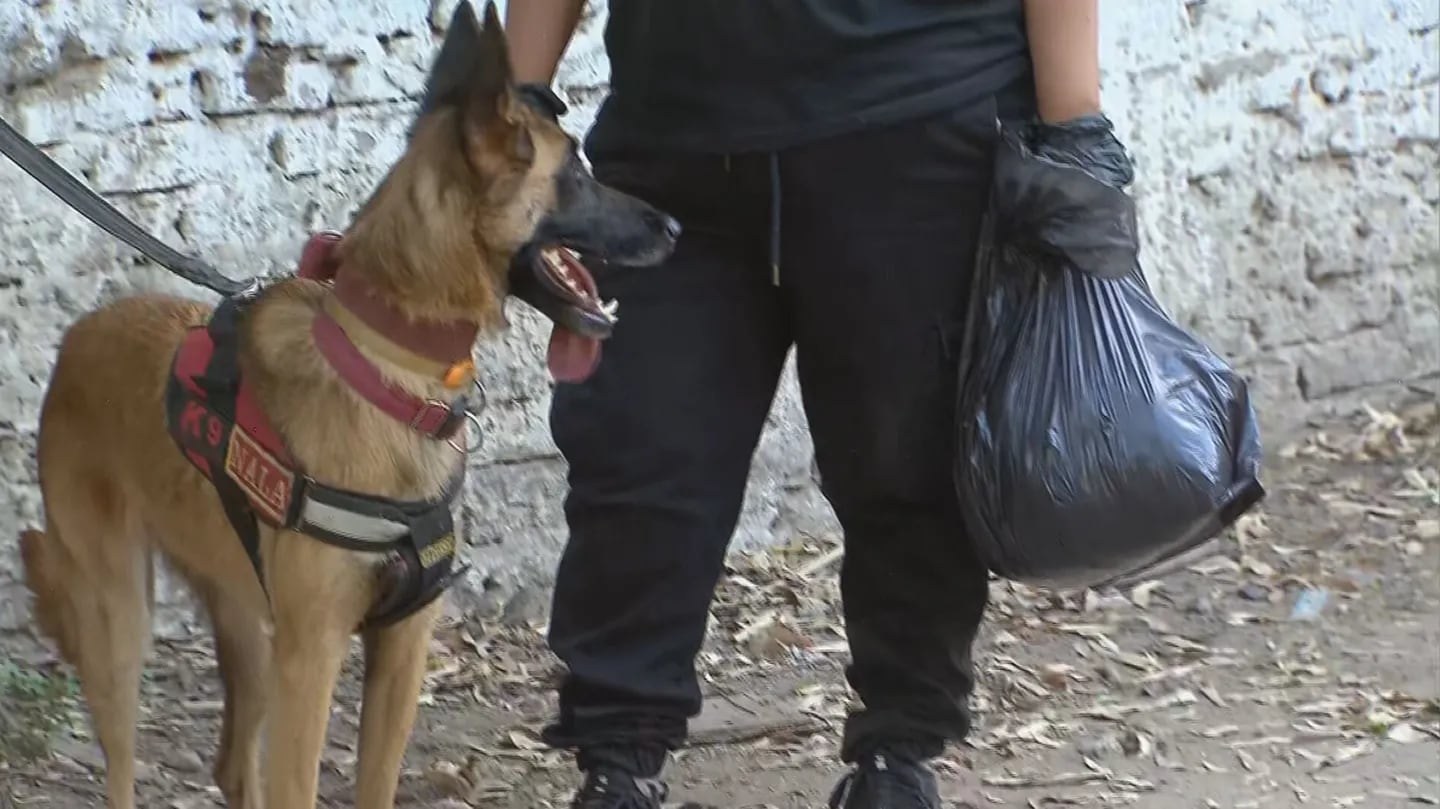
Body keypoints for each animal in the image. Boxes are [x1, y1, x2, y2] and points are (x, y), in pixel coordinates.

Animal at [15, 3, 679, 800]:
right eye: (576, 175)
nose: (676, 228)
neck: (393, 369)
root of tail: (79, 336)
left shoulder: (401, 648)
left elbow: (375, 786)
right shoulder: (313, 657)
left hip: (246, 623)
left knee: (232, 762)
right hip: (122, 621)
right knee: (123, 765)